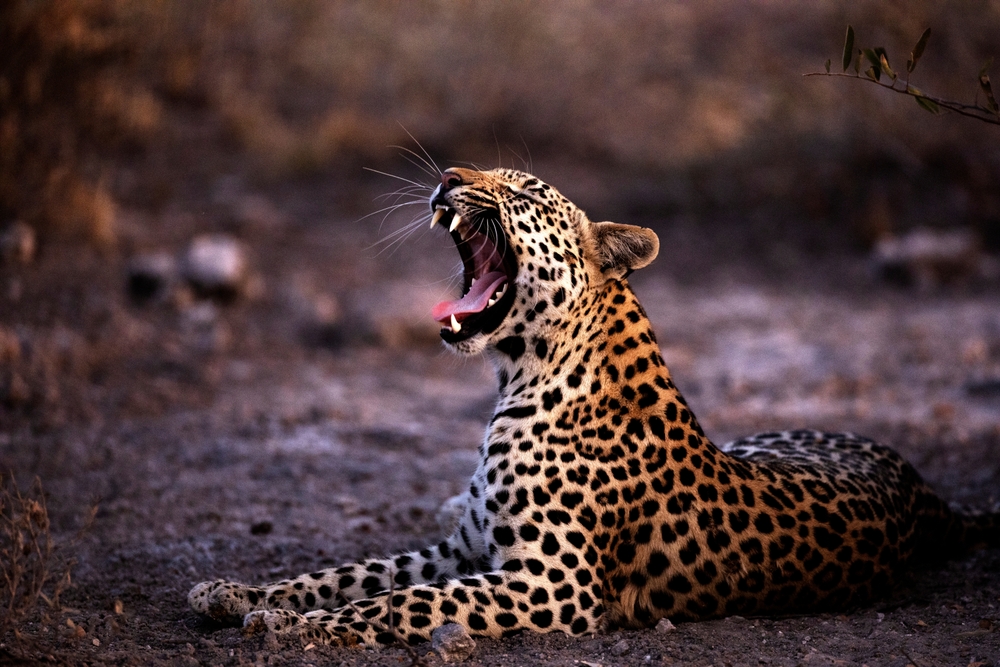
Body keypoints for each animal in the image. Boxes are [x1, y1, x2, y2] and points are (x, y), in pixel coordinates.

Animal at [189, 167, 999, 647]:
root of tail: (921, 487)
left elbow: (397, 604)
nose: (448, 175)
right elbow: (349, 573)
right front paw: (236, 591)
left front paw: (287, 627)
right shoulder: (463, 547)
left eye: (521, 191)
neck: (520, 376)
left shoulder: (550, 585)